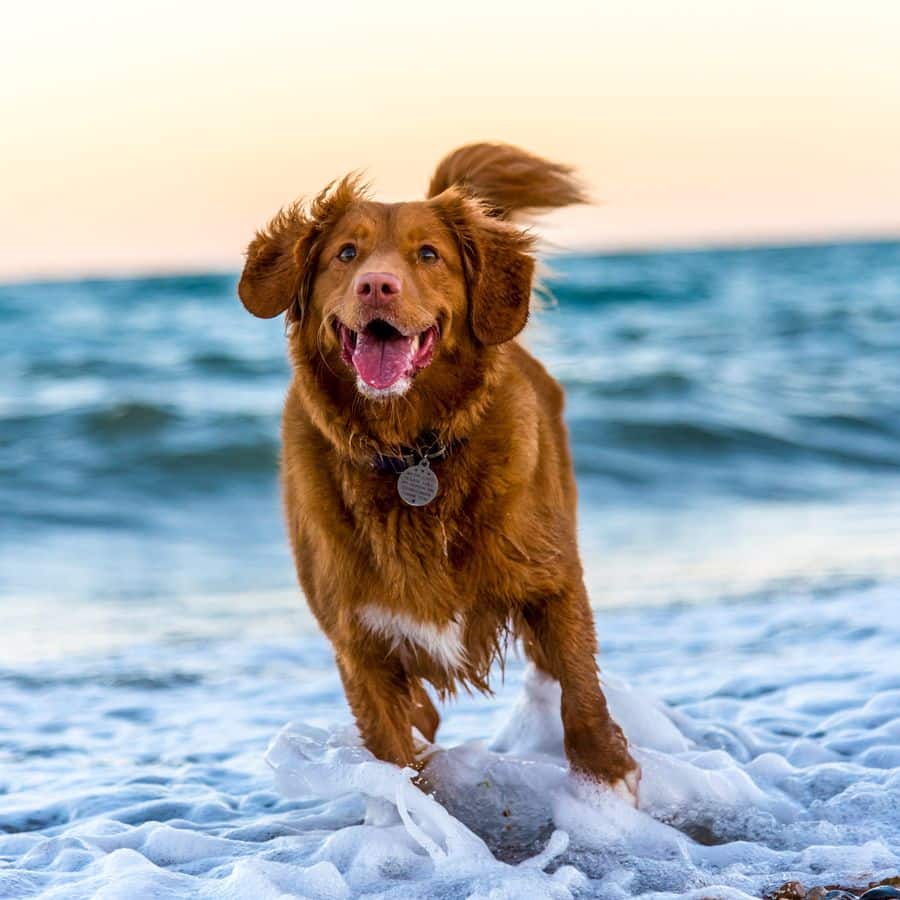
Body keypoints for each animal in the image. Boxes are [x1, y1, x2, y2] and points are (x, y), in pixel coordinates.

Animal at [237, 144, 640, 804]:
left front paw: (607, 776)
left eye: (428, 254)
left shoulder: (552, 579)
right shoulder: (358, 641)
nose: (377, 285)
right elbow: (394, 752)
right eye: (346, 253)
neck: (410, 451)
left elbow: (580, 688)